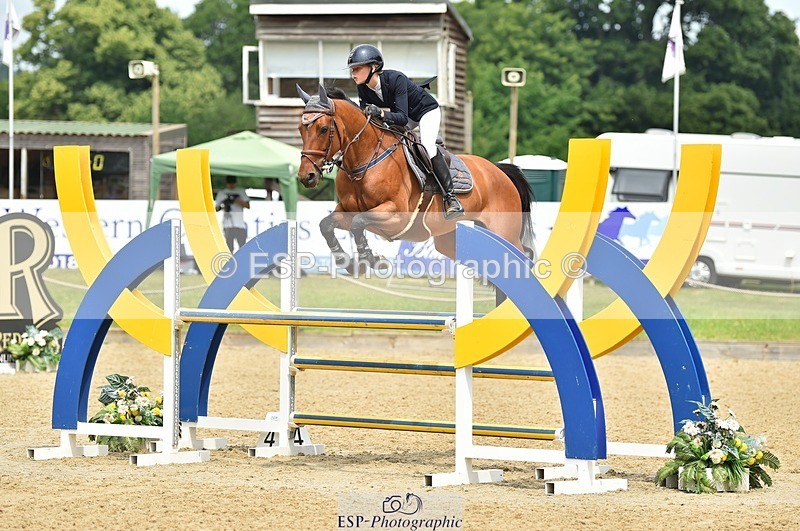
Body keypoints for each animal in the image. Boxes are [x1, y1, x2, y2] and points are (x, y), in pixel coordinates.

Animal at [296, 84, 534, 277]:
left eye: (323, 129)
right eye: (300, 129)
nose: (306, 176)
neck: (365, 160)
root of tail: (500, 171)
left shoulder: (396, 215)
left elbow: (358, 223)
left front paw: (371, 260)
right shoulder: (346, 210)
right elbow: (326, 225)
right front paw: (351, 264)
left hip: (504, 232)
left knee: (522, 258)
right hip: (449, 238)